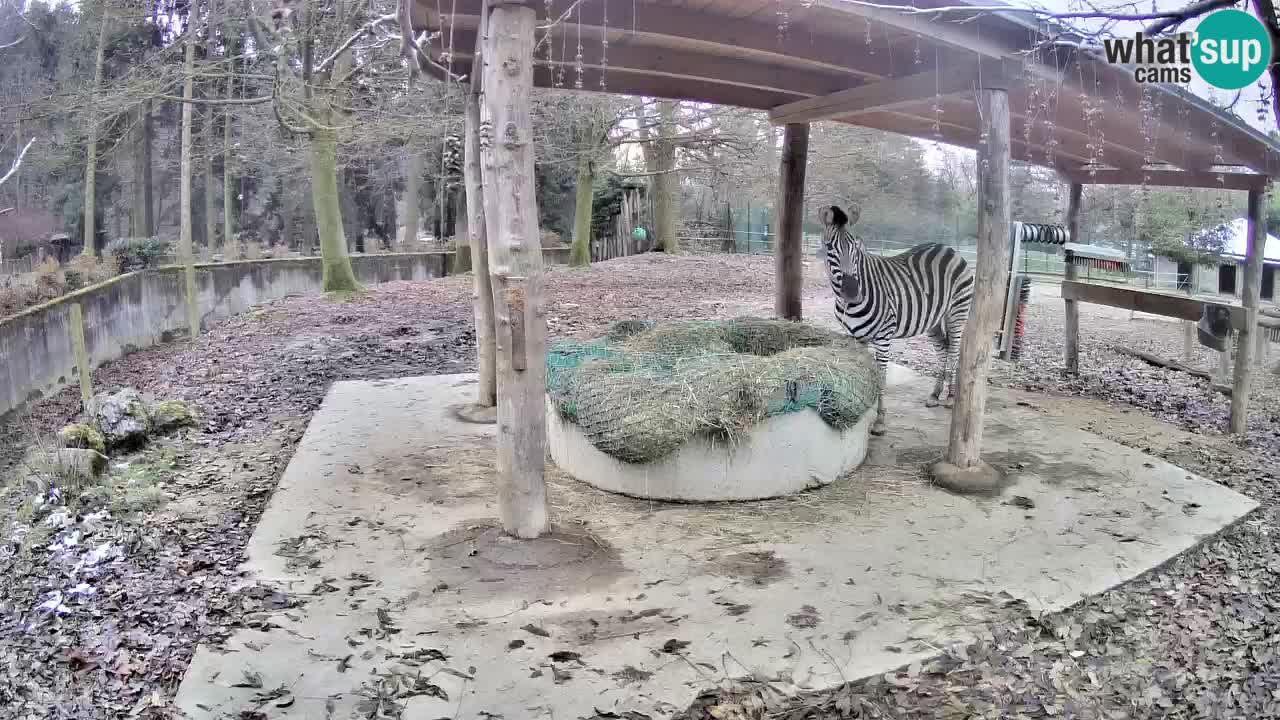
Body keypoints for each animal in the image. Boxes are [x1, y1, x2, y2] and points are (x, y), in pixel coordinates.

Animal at [824, 204, 972, 435]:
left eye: (855, 248)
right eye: (830, 247)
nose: (851, 291)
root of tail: (949, 249)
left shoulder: (884, 336)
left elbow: (881, 380)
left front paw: (879, 421)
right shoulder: (855, 337)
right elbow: (865, 374)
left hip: (957, 312)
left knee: (954, 351)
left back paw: (949, 398)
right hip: (934, 321)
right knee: (943, 350)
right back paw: (934, 395)